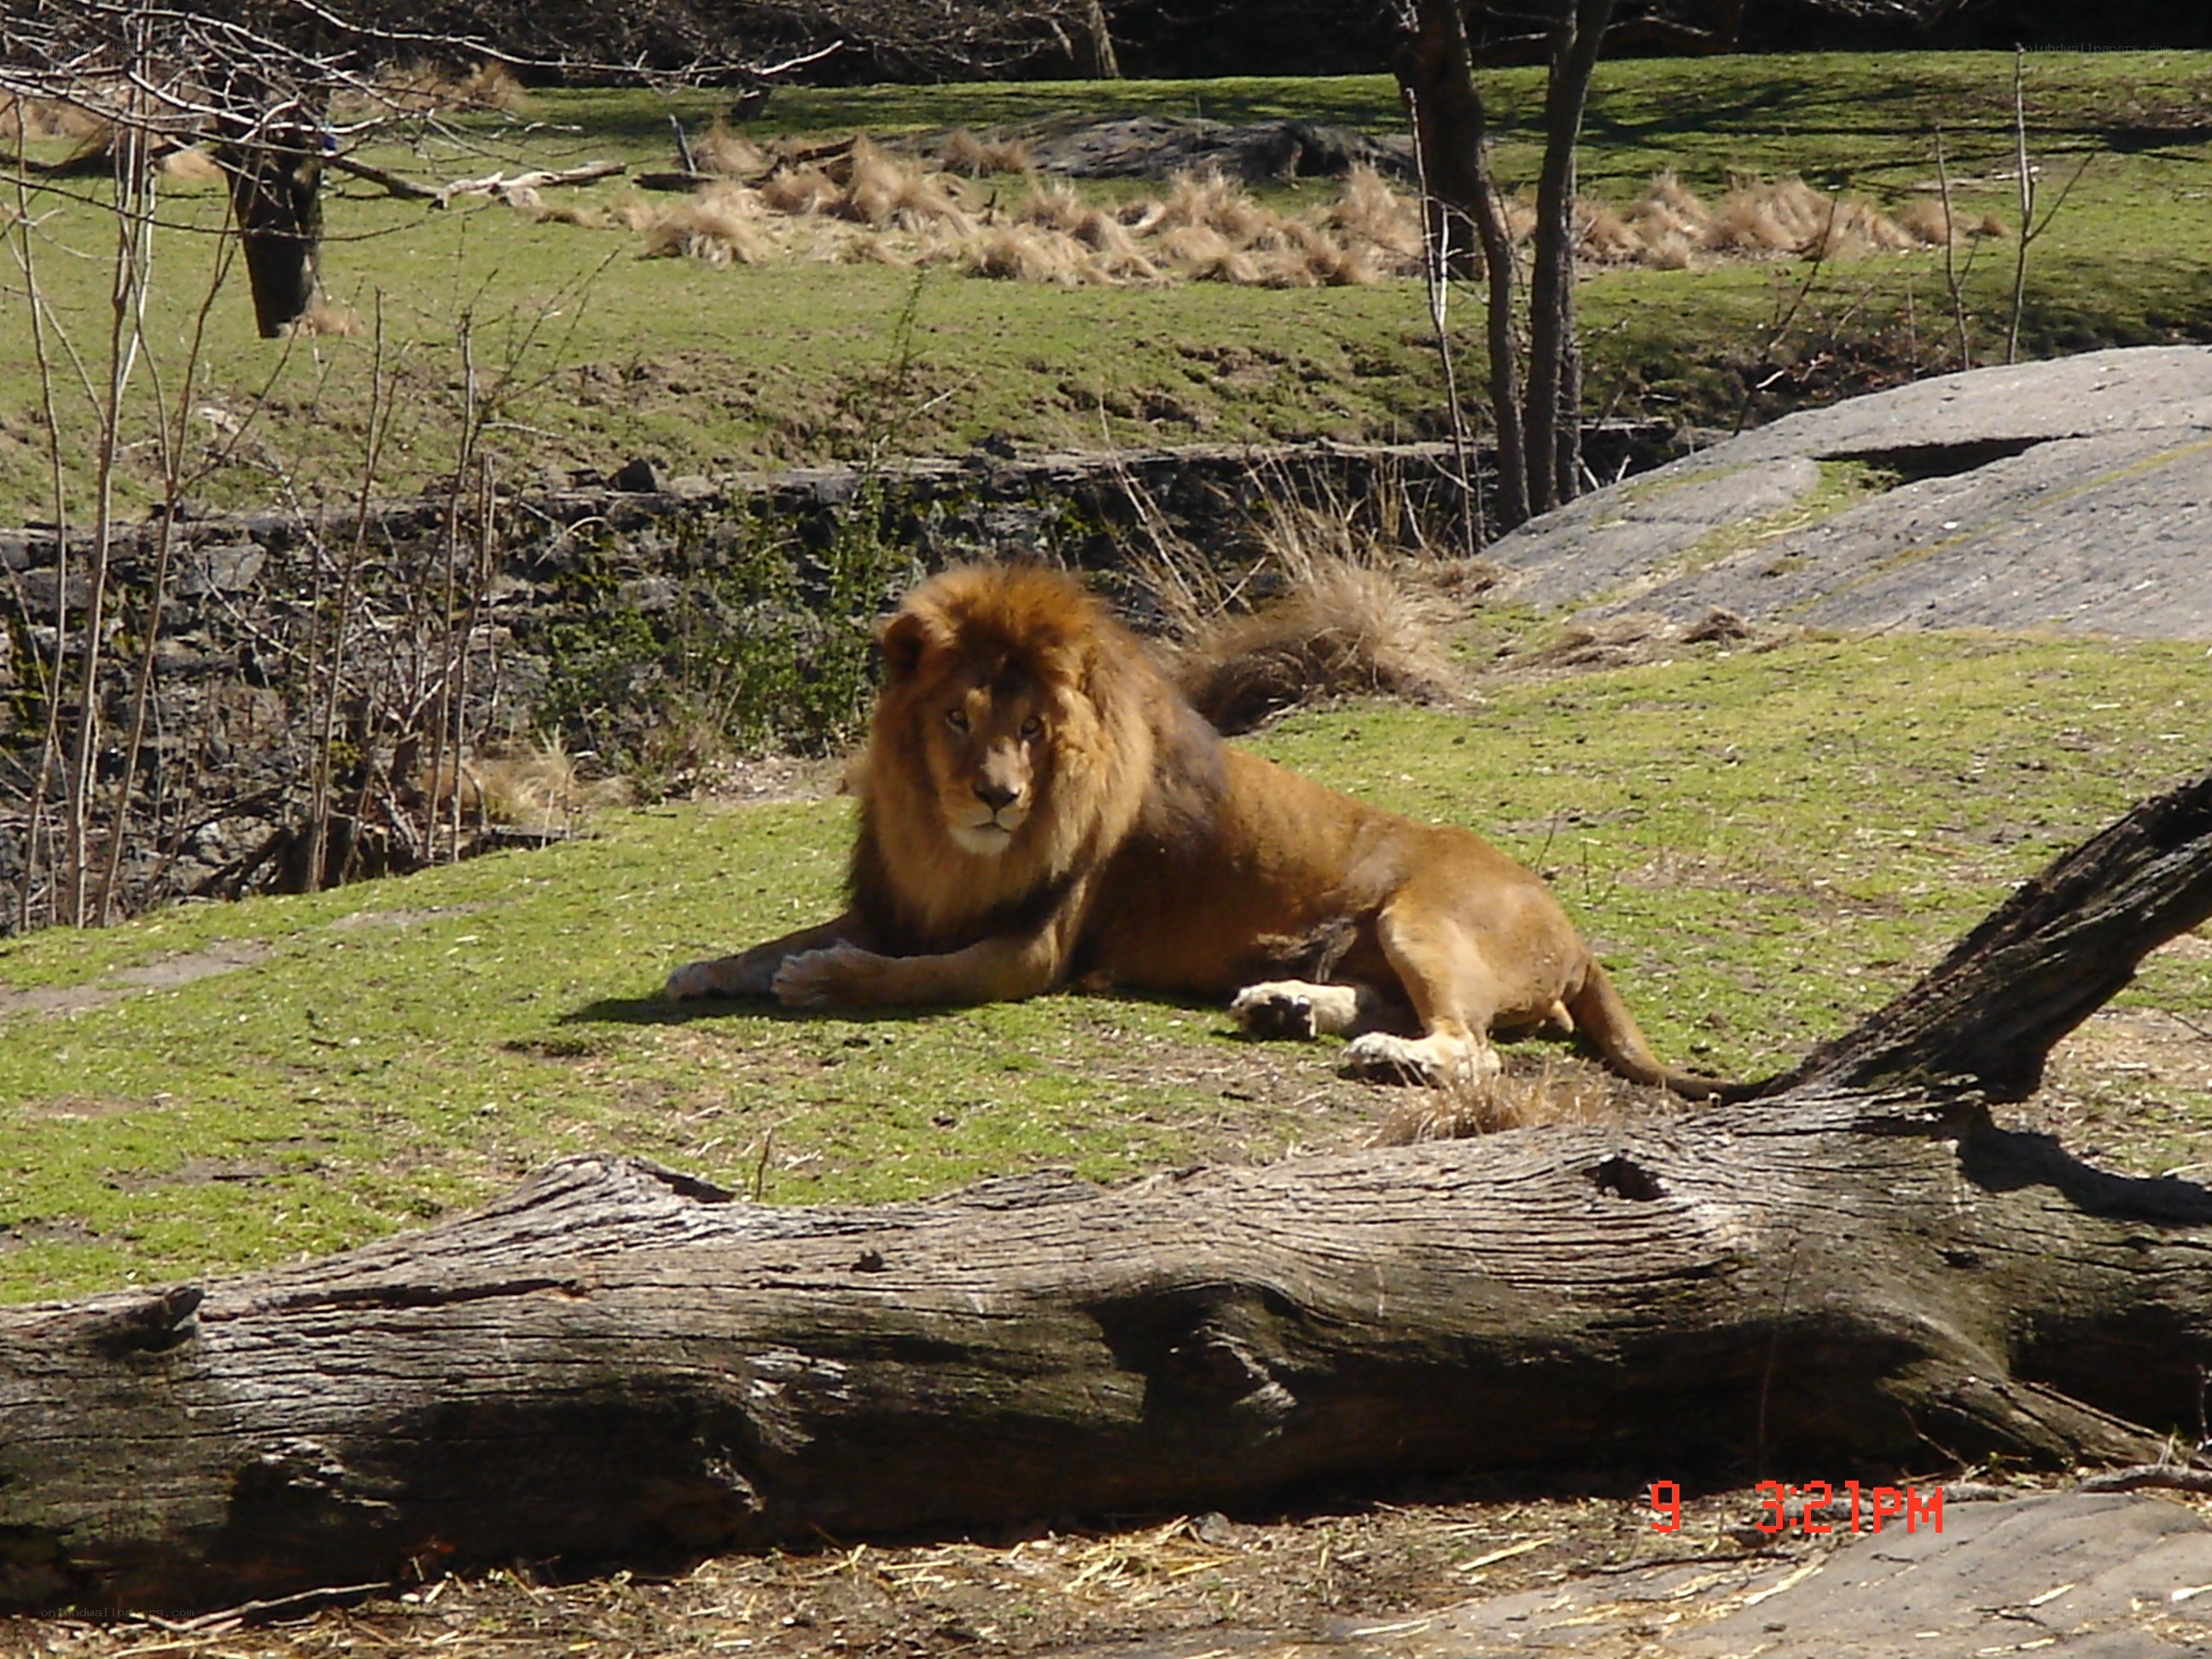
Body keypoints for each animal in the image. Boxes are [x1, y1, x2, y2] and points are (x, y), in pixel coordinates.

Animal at [665, 562, 1751, 1101]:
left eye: (1033, 730)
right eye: (957, 721)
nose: (998, 797)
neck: (945, 840)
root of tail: (1574, 933)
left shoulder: (1033, 950)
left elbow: (911, 975)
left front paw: (823, 980)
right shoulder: (903, 900)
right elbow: (779, 938)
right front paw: (704, 969)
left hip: (1424, 917)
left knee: (1472, 1047)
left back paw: (1382, 1056)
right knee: (1390, 1001)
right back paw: (1286, 1004)